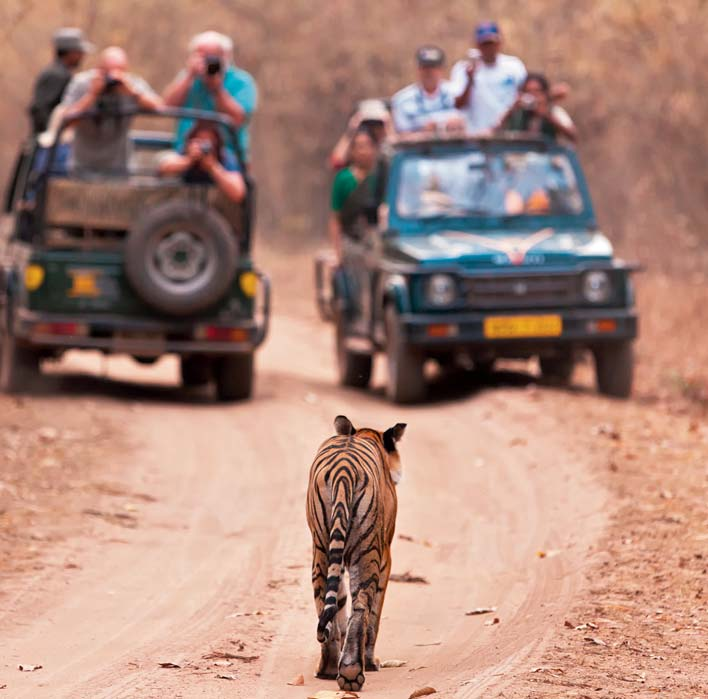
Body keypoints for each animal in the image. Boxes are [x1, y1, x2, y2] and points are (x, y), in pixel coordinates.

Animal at [306, 412, 410, 692]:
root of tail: (343, 471)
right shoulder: (385, 556)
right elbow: (374, 614)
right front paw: (371, 661)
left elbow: (339, 604)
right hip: (367, 551)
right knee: (363, 605)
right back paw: (352, 671)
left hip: (321, 548)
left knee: (325, 604)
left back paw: (329, 668)